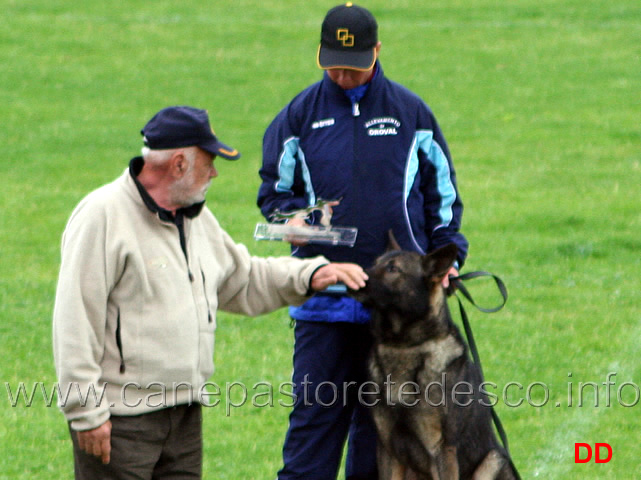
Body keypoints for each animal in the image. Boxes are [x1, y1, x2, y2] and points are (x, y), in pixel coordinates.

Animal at [348, 242, 516, 478]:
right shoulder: (388, 449)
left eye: (393, 269)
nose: (353, 275)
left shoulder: (442, 450)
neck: (403, 345)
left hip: (494, 459)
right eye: (375, 263)